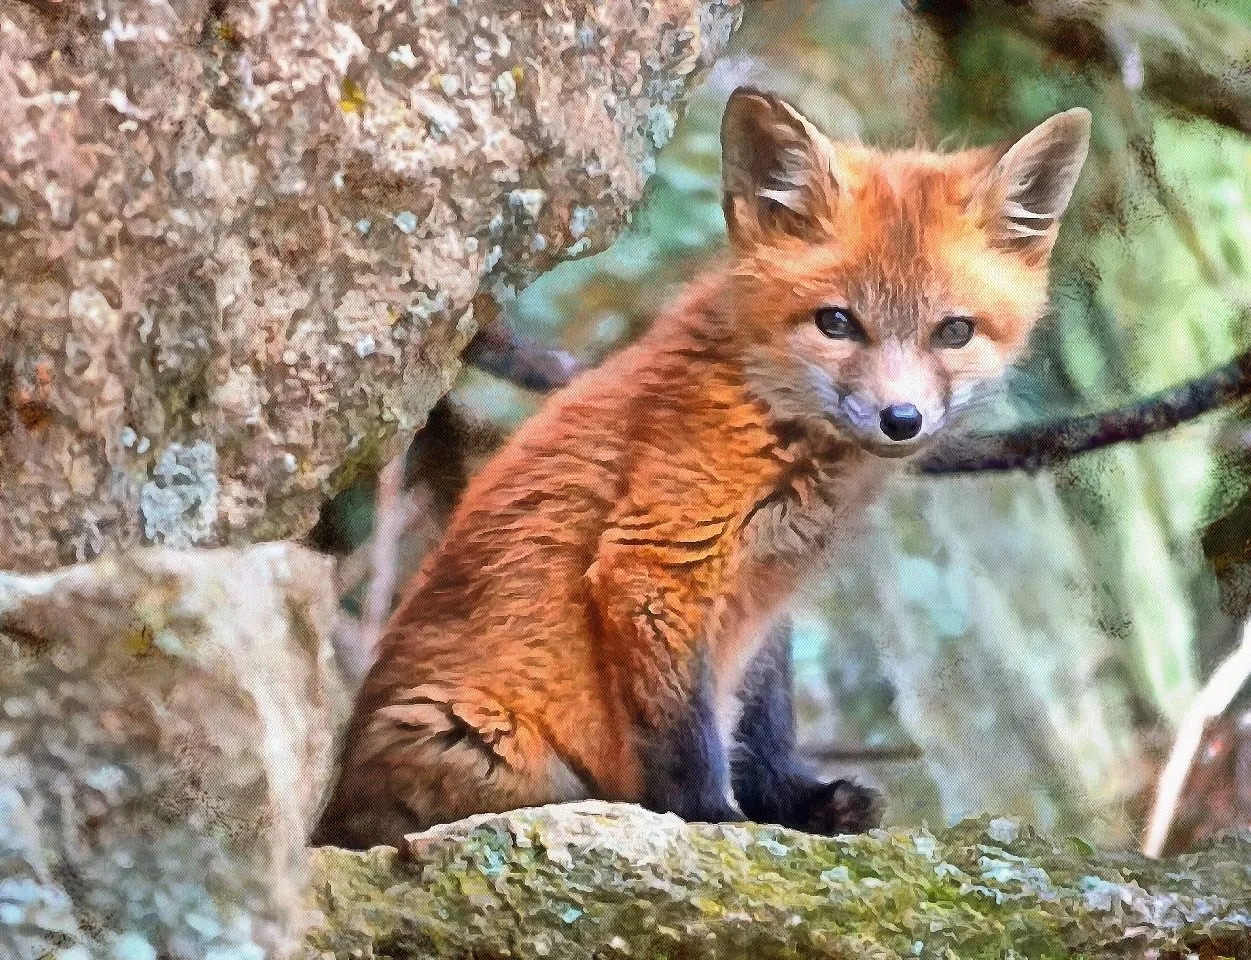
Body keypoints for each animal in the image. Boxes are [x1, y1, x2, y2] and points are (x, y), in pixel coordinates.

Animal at [311, 88, 1092, 849]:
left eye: (953, 332)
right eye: (836, 323)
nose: (900, 419)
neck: (771, 416)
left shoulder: (765, 602)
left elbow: (760, 724)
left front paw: (795, 805)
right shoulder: (658, 561)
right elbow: (690, 737)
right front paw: (712, 820)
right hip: (482, 742)